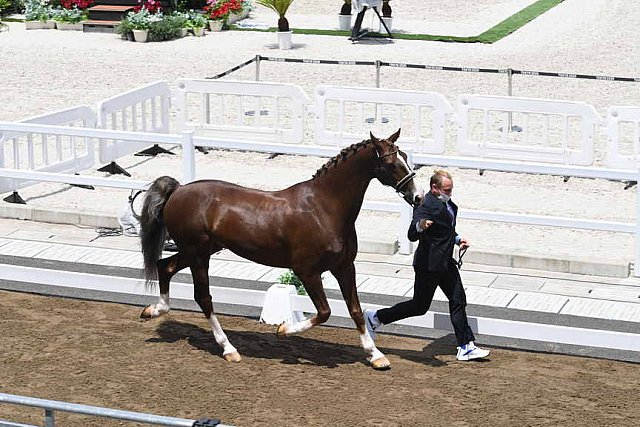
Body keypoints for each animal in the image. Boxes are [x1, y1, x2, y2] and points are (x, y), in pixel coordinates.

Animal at [138, 129, 422, 370]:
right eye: (391, 163)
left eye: (406, 158)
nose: (417, 196)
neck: (324, 208)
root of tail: (178, 190)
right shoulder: (307, 271)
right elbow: (325, 312)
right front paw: (283, 329)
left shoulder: (344, 266)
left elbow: (355, 310)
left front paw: (376, 355)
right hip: (198, 254)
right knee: (203, 297)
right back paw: (229, 348)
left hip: (200, 251)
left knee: (165, 267)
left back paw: (154, 310)